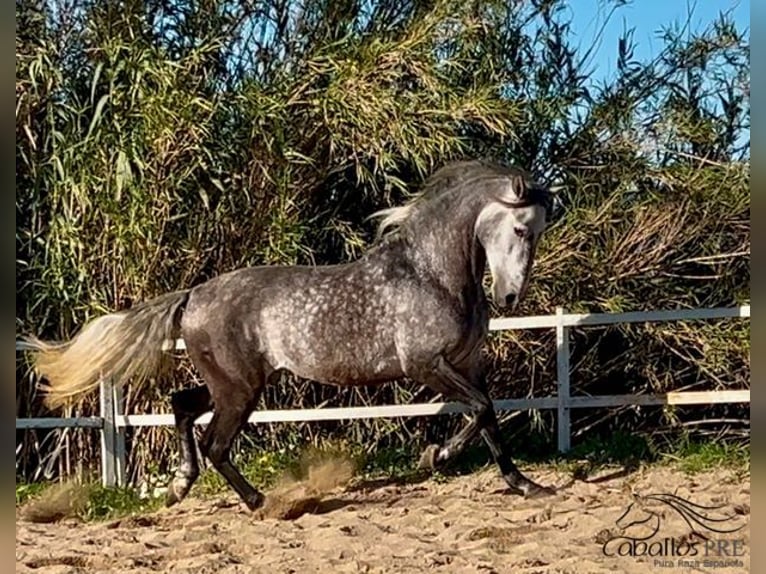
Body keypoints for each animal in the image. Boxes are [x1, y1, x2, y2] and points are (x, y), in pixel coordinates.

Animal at [27, 160, 560, 510]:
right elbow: (480, 409)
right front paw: (438, 456)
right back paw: (258, 501)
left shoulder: (468, 363)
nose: (510, 297)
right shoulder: (425, 365)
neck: (432, 274)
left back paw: (180, 486)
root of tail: (194, 294)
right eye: (520, 228)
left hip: (232, 384)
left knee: (182, 406)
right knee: (215, 443)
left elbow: (488, 415)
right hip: (239, 389)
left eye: (538, 232)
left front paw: (525, 484)